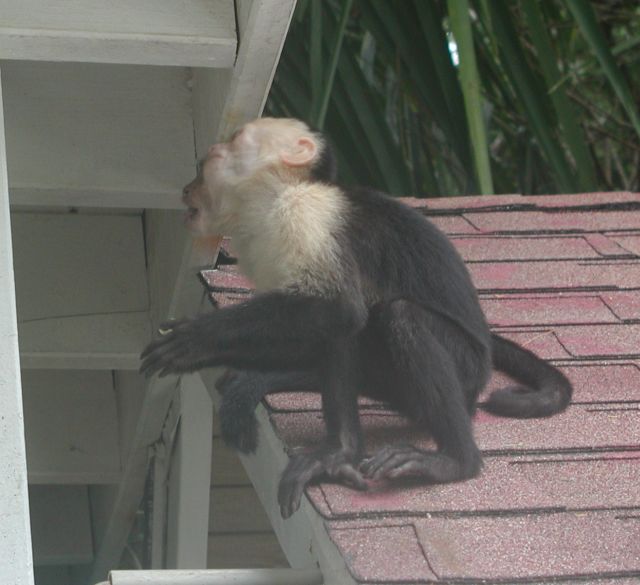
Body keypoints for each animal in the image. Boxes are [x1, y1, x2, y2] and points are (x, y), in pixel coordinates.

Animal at [139, 116, 568, 516]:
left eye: (213, 158)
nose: (187, 189)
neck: (268, 205)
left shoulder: (304, 214)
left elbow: (340, 307)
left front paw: (197, 339)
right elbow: (324, 323)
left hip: (468, 368)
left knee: (396, 316)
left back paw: (454, 460)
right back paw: (340, 449)